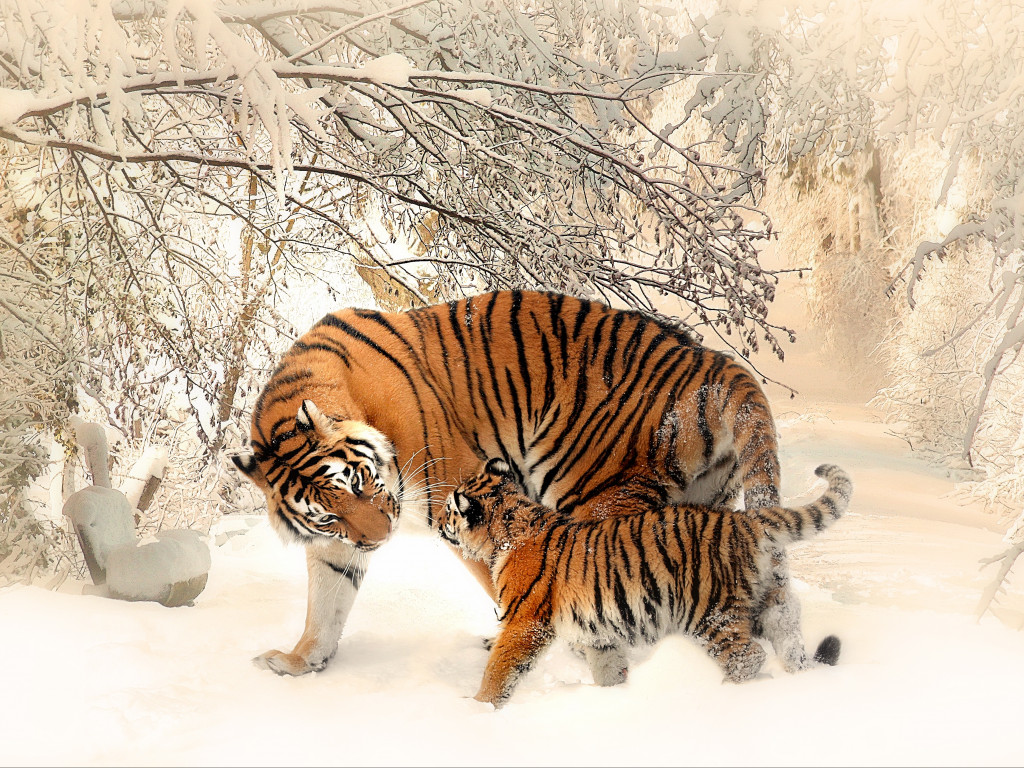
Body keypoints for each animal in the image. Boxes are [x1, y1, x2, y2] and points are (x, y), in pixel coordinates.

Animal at [231, 289, 807, 677]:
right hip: (704, 505)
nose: (380, 538)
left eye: (359, 483)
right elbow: (325, 602)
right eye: (329, 513)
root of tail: (711, 361)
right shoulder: (336, 543)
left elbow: (508, 580)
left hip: (596, 493)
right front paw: (300, 660)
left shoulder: (459, 495)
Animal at [436, 458, 851, 708]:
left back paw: (724, 694)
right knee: (789, 639)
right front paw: (615, 698)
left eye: (450, 510)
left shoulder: (524, 624)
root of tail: (744, 520)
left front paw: (478, 709)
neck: (509, 526)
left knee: (748, 656)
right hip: (767, 604)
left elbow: (499, 669)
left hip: (710, 612)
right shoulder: (598, 632)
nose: (437, 522)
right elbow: (608, 667)